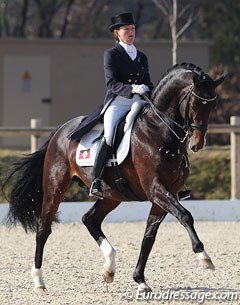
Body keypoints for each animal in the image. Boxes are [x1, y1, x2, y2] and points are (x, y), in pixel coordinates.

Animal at [3, 62, 224, 292]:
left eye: (212, 106)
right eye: (195, 104)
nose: (196, 144)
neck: (158, 132)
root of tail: (60, 131)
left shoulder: (166, 193)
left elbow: (149, 236)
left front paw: (140, 280)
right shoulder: (155, 189)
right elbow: (185, 215)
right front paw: (203, 256)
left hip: (111, 195)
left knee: (90, 219)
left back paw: (109, 268)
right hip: (55, 187)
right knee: (43, 228)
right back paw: (39, 280)